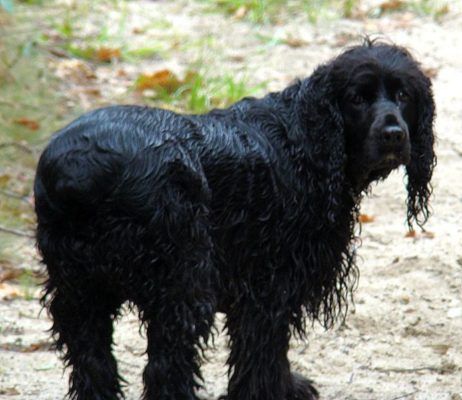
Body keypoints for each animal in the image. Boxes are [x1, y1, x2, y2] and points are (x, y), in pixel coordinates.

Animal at [35, 41, 434, 400]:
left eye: (403, 95)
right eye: (357, 98)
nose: (394, 134)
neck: (308, 143)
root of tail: (81, 167)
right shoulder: (271, 282)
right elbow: (265, 350)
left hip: (80, 291)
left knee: (92, 359)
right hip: (182, 283)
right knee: (166, 366)